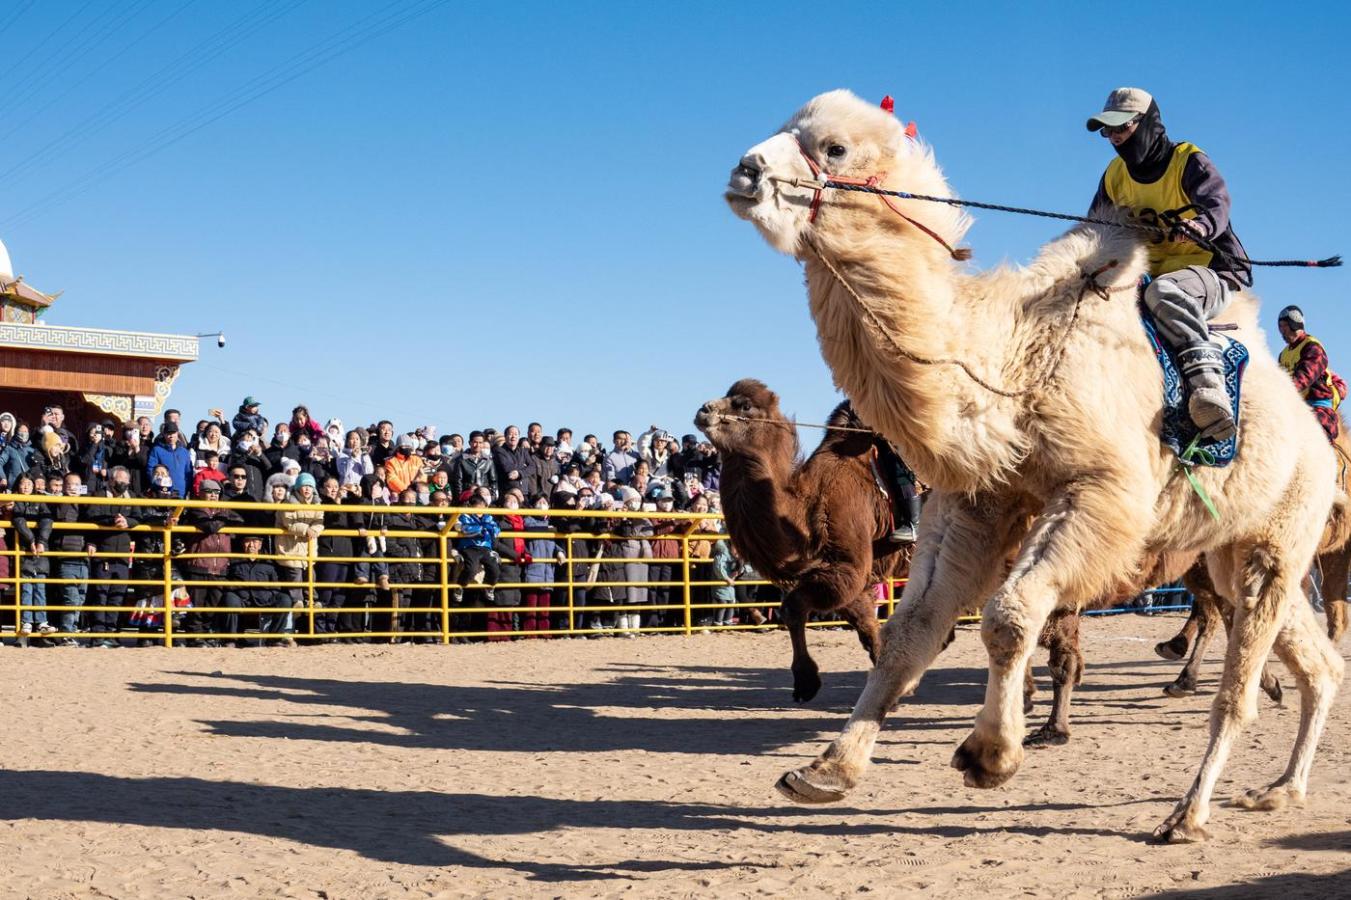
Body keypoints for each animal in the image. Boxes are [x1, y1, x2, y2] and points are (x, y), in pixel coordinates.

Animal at [694, 379, 909, 702]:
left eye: (744, 405)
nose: (703, 410)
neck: (809, 506)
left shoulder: (850, 566)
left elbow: (793, 606)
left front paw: (807, 682)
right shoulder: (846, 576)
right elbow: (867, 626)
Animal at [724, 89, 1343, 842]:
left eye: (834, 148)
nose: (744, 170)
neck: (1013, 361)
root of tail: (1318, 444)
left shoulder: (1101, 493)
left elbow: (1009, 616)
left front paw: (990, 755)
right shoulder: (976, 501)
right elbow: (910, 631)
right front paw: (826, 771)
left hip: (1277, 541)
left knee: (1237, 693)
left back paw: (1187, 814)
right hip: (1234, 551)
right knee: (1318, 663)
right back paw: (1281, 789)